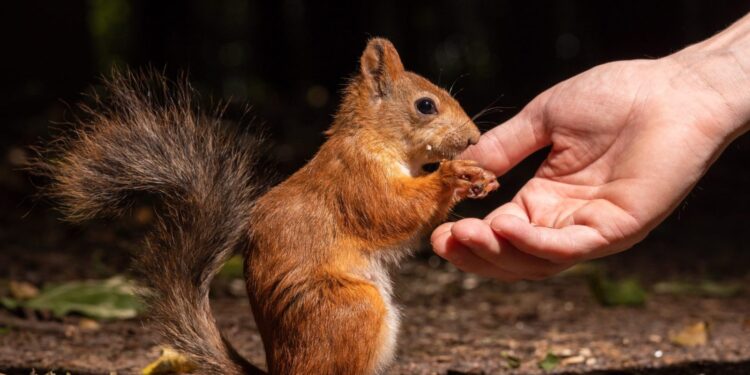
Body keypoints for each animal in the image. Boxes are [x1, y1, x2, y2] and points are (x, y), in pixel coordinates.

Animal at [38, 39, 502, 375]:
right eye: (425, 105)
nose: (474, 139)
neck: (374, 139)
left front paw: (481, 179)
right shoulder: (356, 181)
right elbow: (393, 211)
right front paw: (453, 174)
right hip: (351, 310)